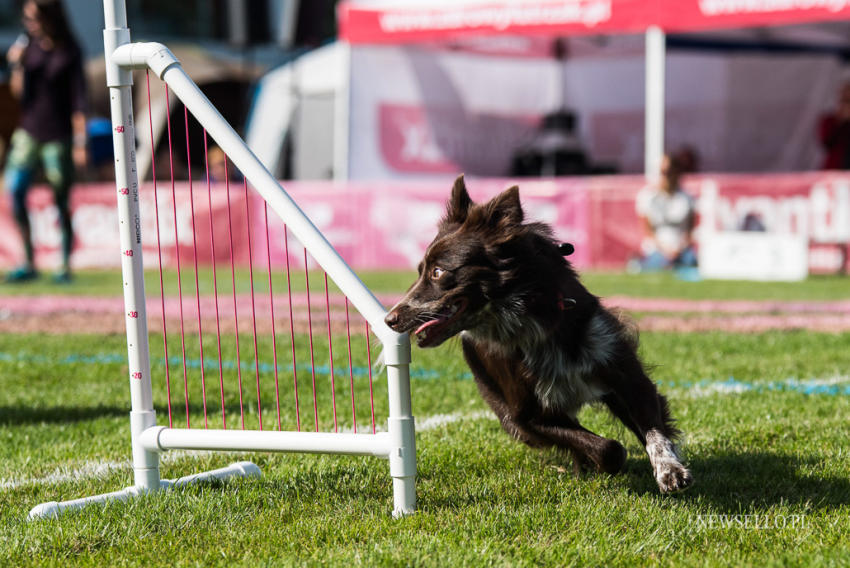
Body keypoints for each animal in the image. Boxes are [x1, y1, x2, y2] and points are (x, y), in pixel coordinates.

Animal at [384, 176, 688, 492]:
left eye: (438, 272)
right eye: (420, 270)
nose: (389, 319)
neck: (532, 319)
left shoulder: (622, 370)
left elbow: (652, 427)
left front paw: (670, 469)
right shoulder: (524, 414)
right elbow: (609, 449)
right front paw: (600, 463)